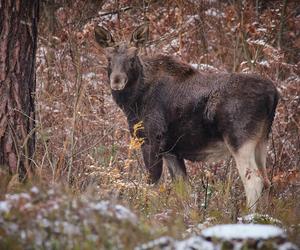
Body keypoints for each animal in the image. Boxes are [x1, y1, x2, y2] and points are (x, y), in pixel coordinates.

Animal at [95, 23, 278, 211]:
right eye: (108, 59)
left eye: (132, 59)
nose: (117, 81)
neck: (133, 102)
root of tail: (273, 94)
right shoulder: (171, 151)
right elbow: (183, 190)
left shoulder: (151, 139)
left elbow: (153, 184)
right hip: (261, 140)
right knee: (267, 181)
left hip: (240, 140)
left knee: (254, 181)